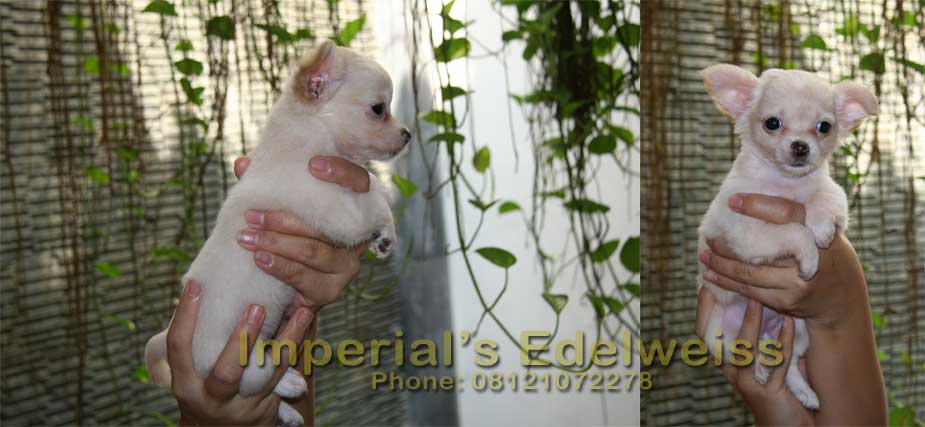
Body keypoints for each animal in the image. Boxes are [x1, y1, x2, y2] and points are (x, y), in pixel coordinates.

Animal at [143, 41, 408, 427]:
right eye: (378, 109)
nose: (407, 134)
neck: (304, 141)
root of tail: (168, 339)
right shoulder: (338, 212)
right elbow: (372, 196)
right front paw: (385, 217)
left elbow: (369, 183)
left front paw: (384, 234)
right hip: (236, 354)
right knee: (256, 377)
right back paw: (289, 381)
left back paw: (290, 411)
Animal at [700, 64, 872, 412]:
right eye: (772, 124)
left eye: (824, 127)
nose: (801, 146)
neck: (786, 185)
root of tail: (767, 329)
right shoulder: (749, 233)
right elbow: (793, 229)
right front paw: (809, 257)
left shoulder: (833, 193)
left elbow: (823, 199)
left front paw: (820, 226)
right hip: (719, 335)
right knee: (743, 354)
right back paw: (760, 368)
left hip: (800, 330)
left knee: (790, 363)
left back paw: (804, 393)